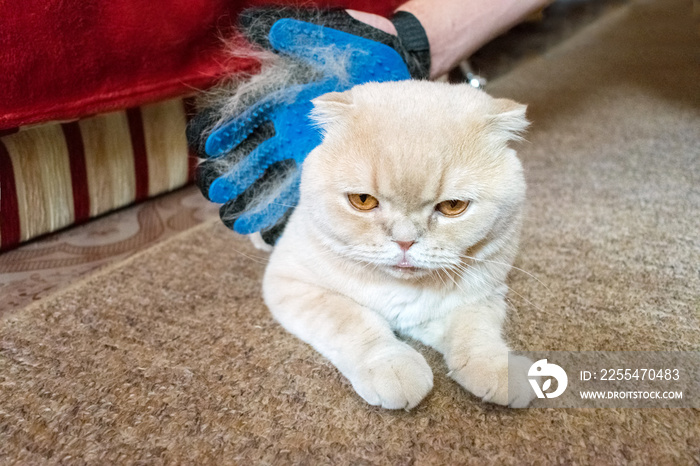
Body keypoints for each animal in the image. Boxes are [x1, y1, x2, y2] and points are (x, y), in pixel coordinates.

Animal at [262, 80, 536, 408]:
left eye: (453, 206)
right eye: (363, 200)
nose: (405, 241)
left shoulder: (482, 294)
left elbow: (475, 329)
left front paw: (497, 367)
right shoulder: (291, 284)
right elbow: (353, 320)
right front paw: (390, 366)